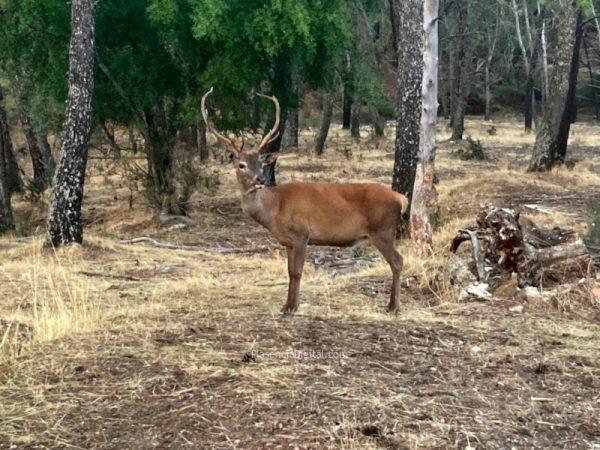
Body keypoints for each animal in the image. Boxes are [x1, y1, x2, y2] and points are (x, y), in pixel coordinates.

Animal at [202, 87, 408, 312]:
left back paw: (393, 306)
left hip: (382, 230)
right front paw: (287, 305)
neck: (275, 209)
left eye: (261, 163)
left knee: (398, 261)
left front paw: (292, 307)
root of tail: (402, 198)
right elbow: (289, 272)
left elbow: (297, 272)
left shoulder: (302, 234)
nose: (261, 179)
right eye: (241, 165)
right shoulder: (288, 242)